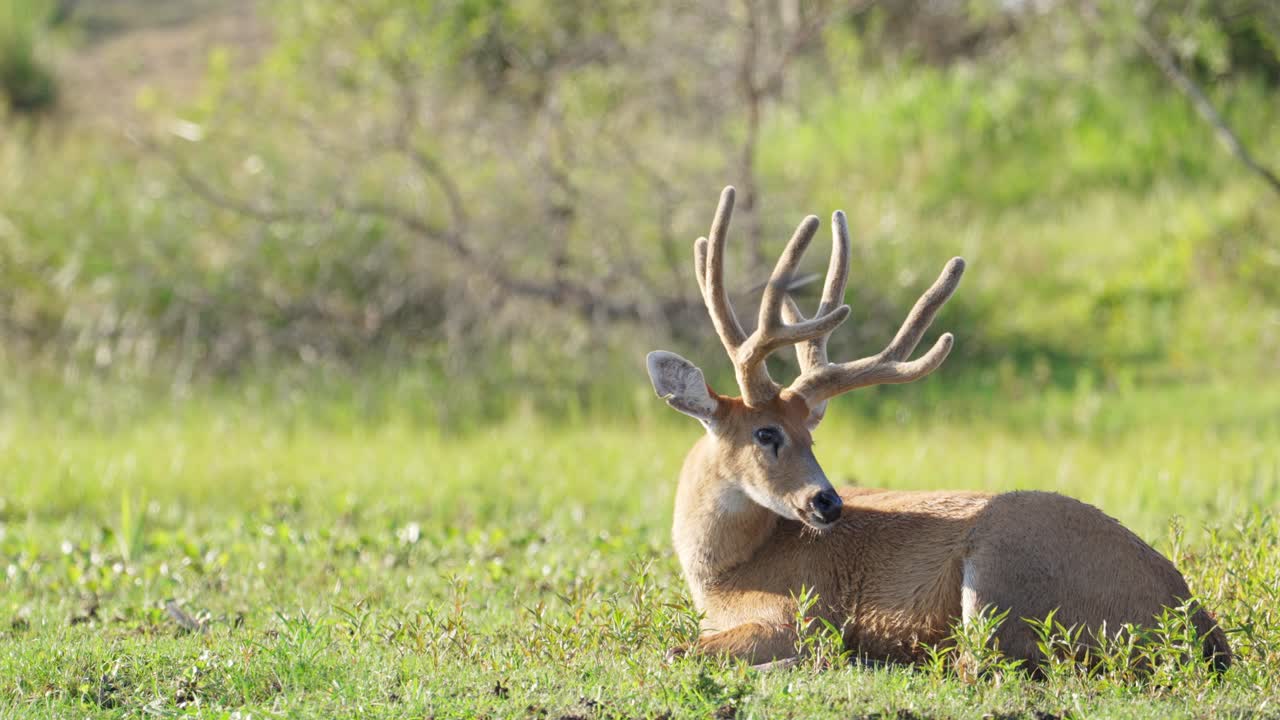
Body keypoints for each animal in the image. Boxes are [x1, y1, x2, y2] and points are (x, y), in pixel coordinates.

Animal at [645, 186, 1231, 671]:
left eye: (809, 436)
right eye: (768, 433)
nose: (827, 503)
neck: (726, 573)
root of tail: (1199, 629)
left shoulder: (800, 613)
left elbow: (679, 650)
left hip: (1002, 568)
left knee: (987, 663)